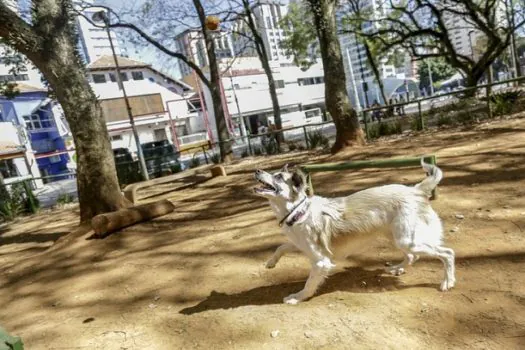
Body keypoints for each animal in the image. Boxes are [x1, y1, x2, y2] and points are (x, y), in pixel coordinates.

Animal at [252, 160, 452, 304]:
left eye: (278, 177)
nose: (257, 170)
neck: (299, 211)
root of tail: (415, 190)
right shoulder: (299, 243)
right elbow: (281, 247)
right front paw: (271, 263)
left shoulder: (321, 262)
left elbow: (309, 284)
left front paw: (296, 297)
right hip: (398, 237)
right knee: (413, 256)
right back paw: (397, 268)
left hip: (406, 239)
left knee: (447, 253)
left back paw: (447, 282)